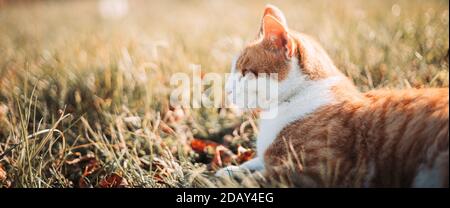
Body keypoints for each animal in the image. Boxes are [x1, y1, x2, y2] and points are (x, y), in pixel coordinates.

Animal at [216, 4, 448, 188]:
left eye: (245, 72)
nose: (227, 90)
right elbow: (255, 161)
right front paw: (231, 169)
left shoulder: (316, 170)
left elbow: (259, 178)